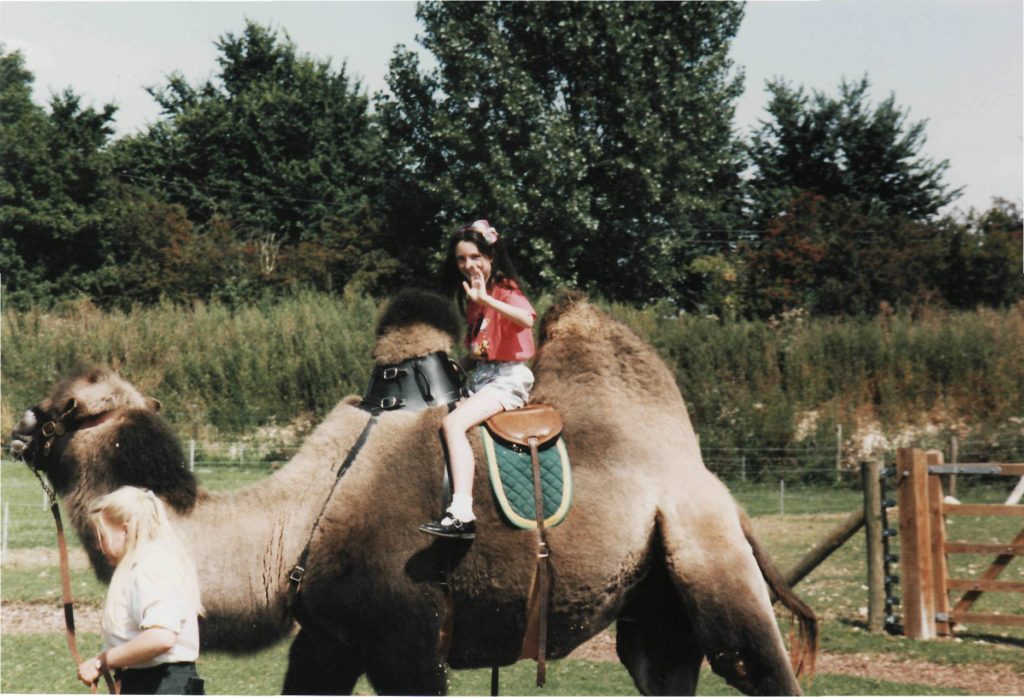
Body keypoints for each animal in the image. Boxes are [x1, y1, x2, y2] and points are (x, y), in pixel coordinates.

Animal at [12, 288, 815, 691]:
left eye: (65, 408)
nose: (15, 428)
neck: (300, 522)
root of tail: (710, 480)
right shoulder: (329, 638)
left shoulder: (406, 632)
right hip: (655, 595)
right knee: (665, 666)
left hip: (706, 549)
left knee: (756, 662)